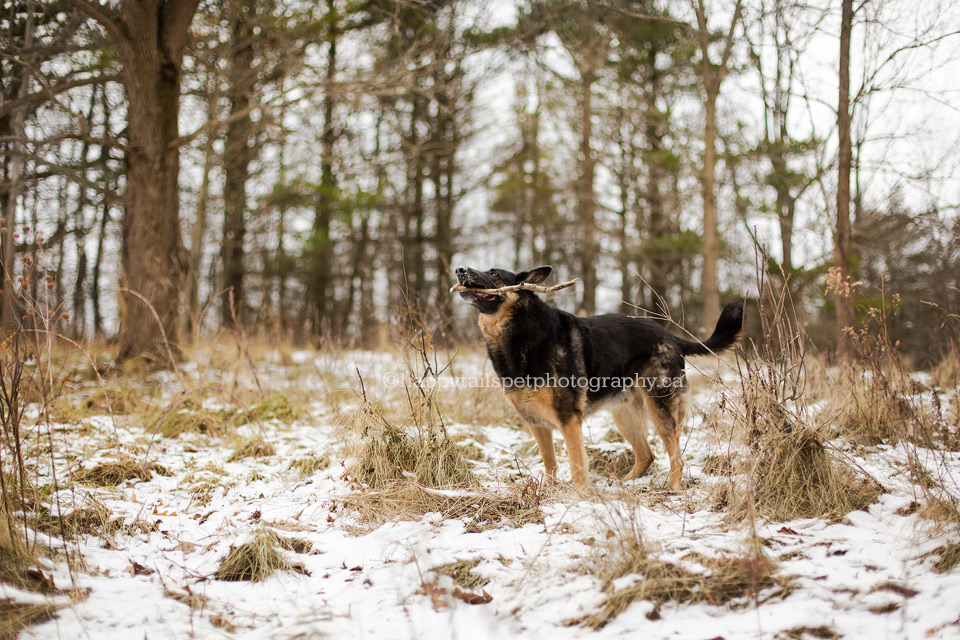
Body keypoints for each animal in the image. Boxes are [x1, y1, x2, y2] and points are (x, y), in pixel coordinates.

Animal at [456, 264, 744, 490]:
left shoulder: (569, 420)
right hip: (624, 416)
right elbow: (550, 464)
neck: (520, 330)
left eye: (493, 273)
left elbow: (577, 466)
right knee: (646, 455)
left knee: (676, 457)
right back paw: (622, 486)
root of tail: (670, 336)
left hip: (661, 409)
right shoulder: (535, 422)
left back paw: (672, 490)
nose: (459, 269)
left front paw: (580, 498)